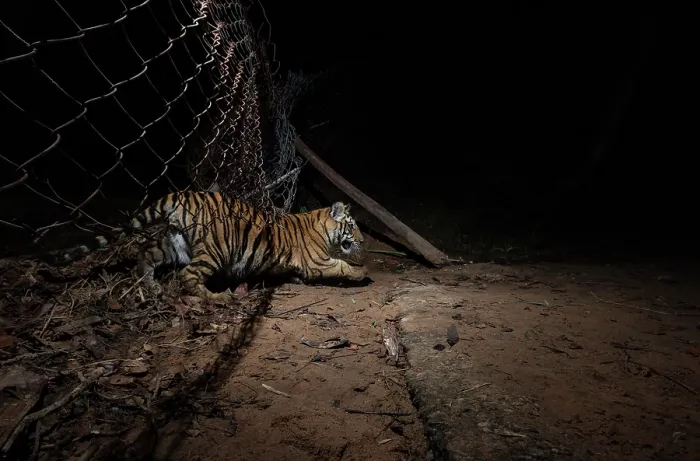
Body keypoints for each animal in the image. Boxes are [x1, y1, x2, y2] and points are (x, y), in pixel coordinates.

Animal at [46, 191, 369, 301]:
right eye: (353, 226)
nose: (364, 241)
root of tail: (181, 195)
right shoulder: (318, 262)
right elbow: (342, 264)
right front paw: (361, 273)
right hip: (216, 251)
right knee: (187, 276)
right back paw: (216, 298)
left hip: (175, 243)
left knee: (146, 253)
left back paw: (151, 286)